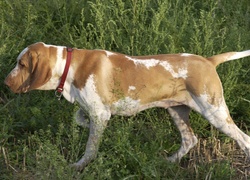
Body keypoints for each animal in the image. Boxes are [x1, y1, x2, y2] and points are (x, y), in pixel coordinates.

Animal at [3, 41, 250, 170]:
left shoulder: (100, 113)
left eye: (21, 64)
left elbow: (90, 149)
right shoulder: (94, 111)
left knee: (244, 139)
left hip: (214, 112)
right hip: (176, 110)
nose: (5, 82)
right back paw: (168, 162)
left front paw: (79, 166)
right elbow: (79, 118)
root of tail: (208, 61)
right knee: (190, 140)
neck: (69, 66)